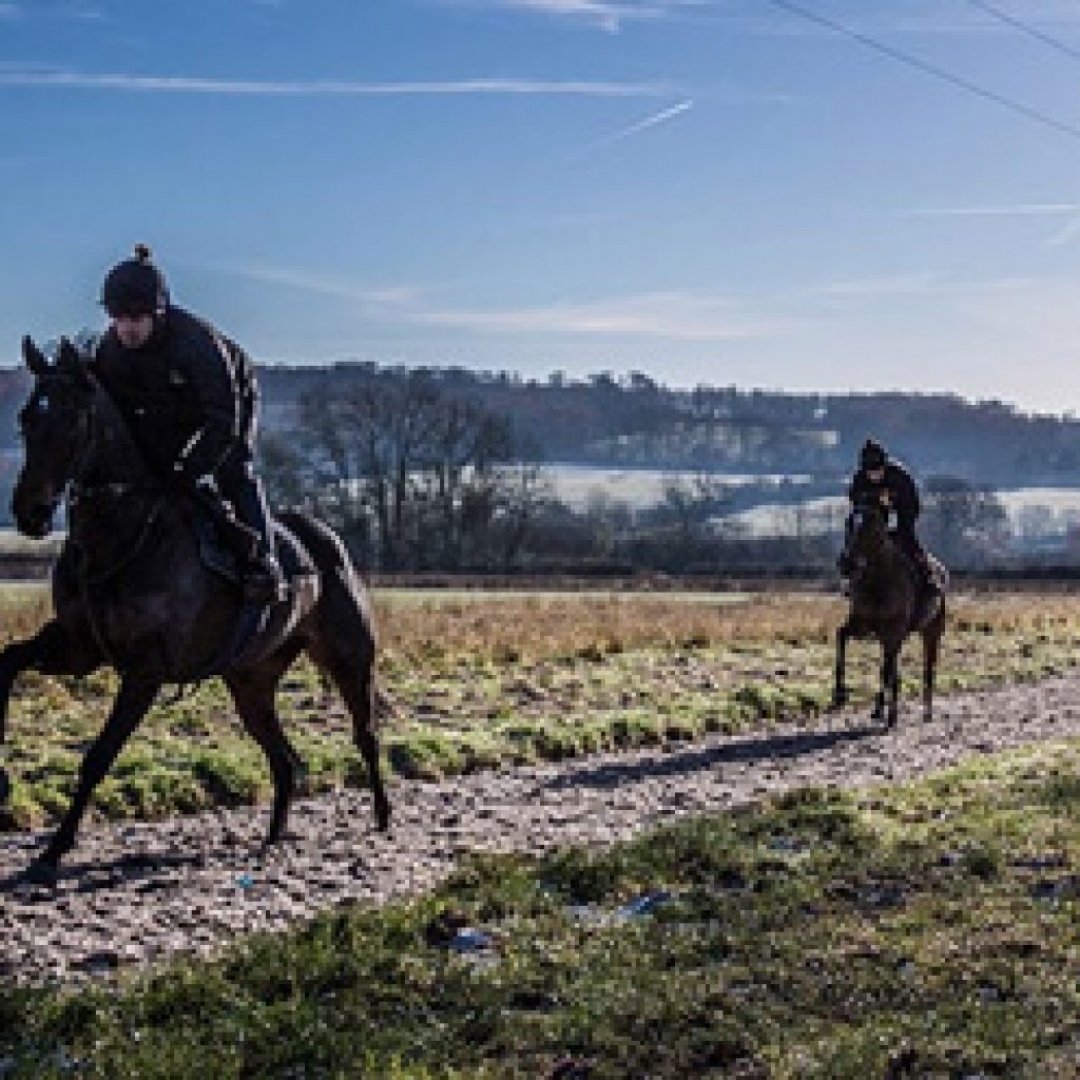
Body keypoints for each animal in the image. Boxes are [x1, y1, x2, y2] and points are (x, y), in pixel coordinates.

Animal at [2, 339, 390, 885]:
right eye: (27, 418)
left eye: (73, 418)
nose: (30, 512)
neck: (119, 534)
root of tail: (327, 539)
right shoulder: (79, 645)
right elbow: (8, 661)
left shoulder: (145, 668)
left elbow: (98, 757)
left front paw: (54, 849)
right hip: (251, 681)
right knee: (284, 759)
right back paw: (272, 838)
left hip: (349, 659)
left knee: (366, 734)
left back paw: (381, 816)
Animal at [825, 492, 946, 730]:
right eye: (848, 522)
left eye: (870, 526)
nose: (846, 564)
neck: (879, 580)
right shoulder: (862, 624)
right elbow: (841, 637)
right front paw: (839, 695)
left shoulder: (894, 631)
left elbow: (889, 670)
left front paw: (892, 714)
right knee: (888, 668)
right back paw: (880, 709)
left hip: (931, 631)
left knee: (927, 668)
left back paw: (926, 712)